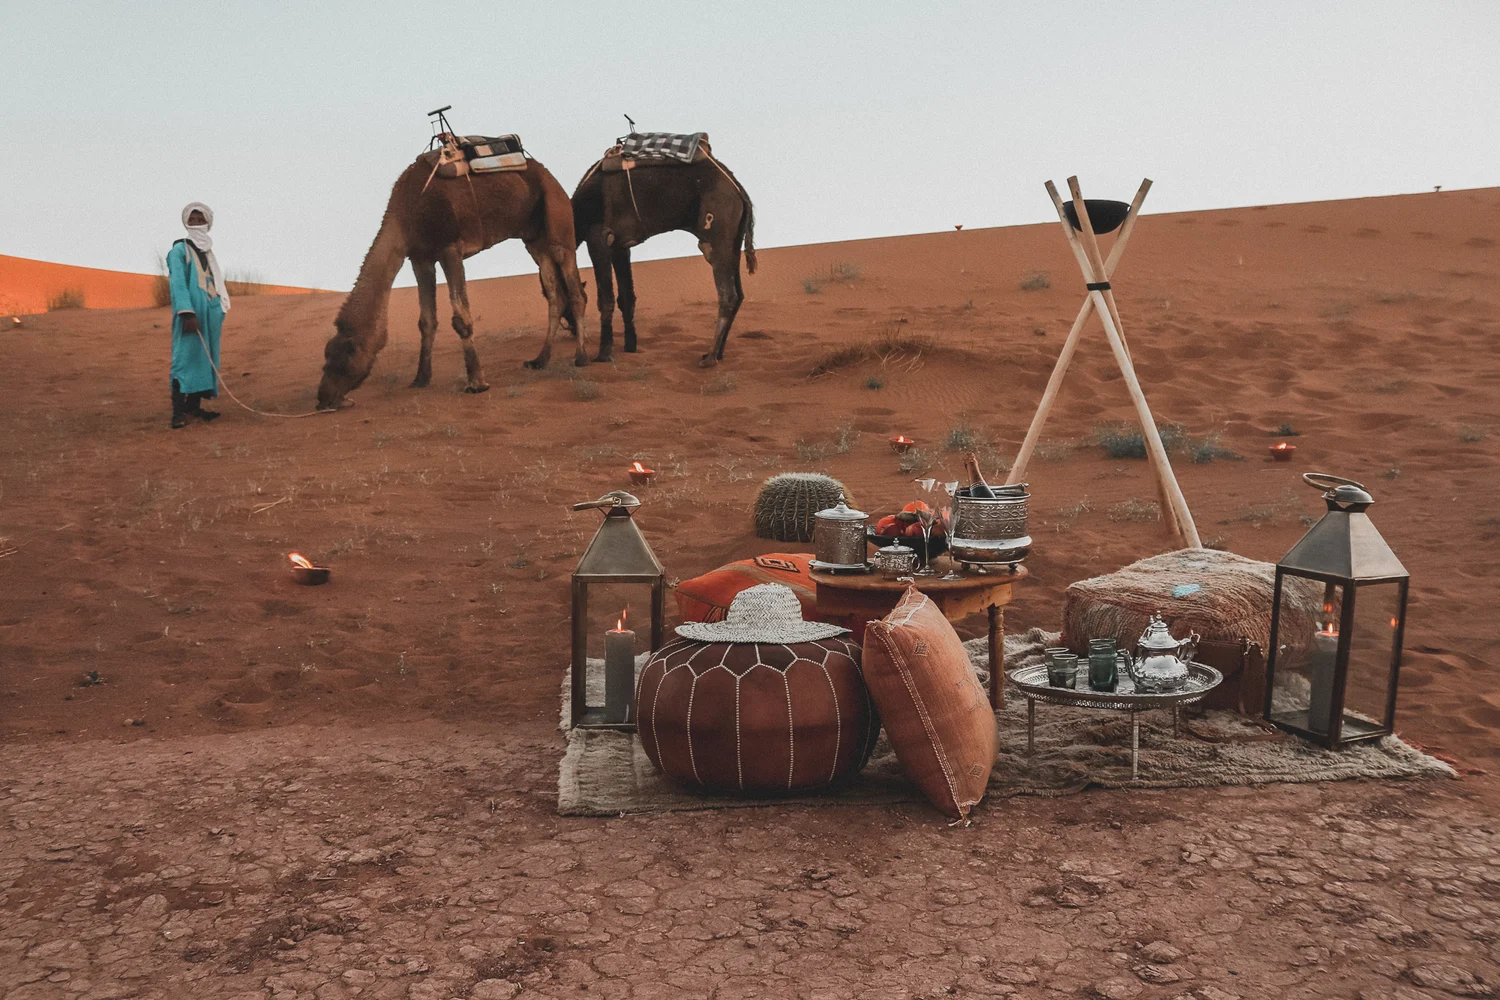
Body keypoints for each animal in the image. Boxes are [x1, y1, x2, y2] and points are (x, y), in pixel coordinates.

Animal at [316, 151, 589, 409]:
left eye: (343, 361)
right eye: (326, 358)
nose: (323, 398)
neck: (407, 211)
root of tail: (550, 176)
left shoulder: (450, 248)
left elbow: (461, 318)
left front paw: (477, 382)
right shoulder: (420, 257)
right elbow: (426, 321)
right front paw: (421, 379)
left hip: (557, 220)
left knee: (575, 289)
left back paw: (582, 357)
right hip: (534, 239)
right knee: (555, 294)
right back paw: (539, 360)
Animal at [568, 153, 755, 366]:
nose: (573, 329)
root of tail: (740, 192)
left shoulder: (597, 236)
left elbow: (605, 298)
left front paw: (603, 354)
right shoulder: (620, 245)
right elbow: (626, 297)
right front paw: (630, 346)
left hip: (718, 230)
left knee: (728, 294)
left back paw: (710, 358)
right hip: (734, 240)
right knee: (739, 293)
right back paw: (717, 354)